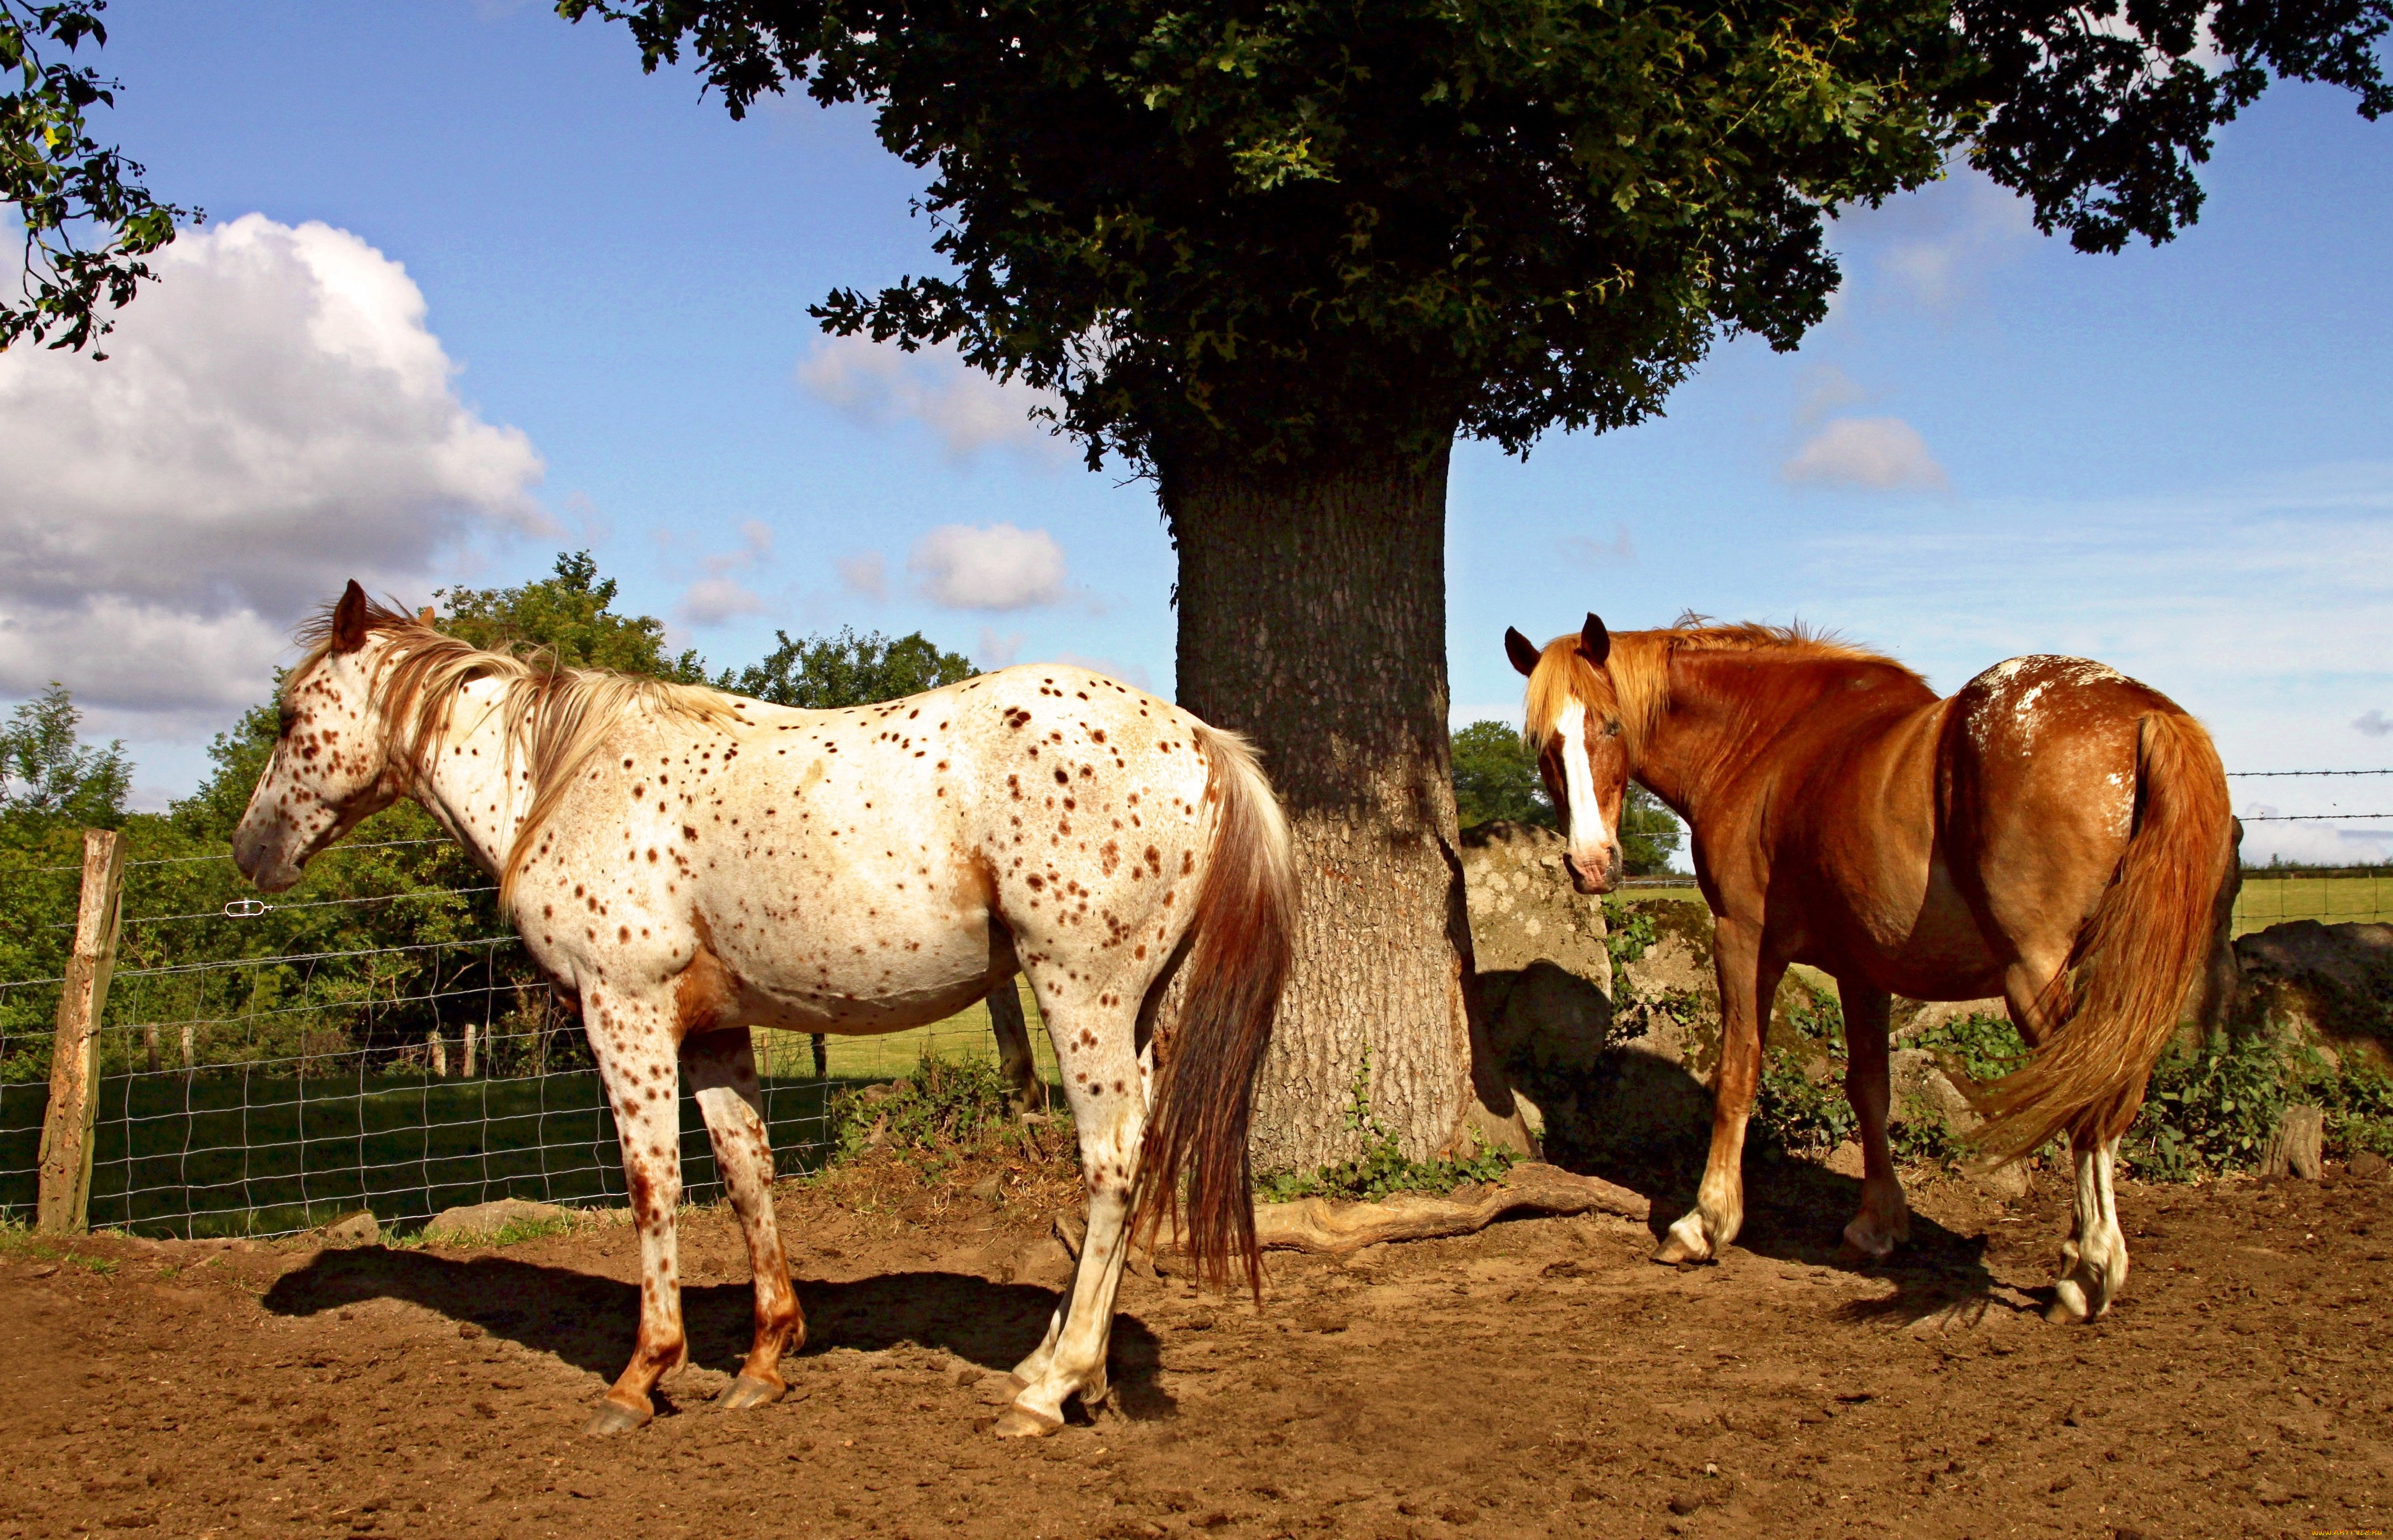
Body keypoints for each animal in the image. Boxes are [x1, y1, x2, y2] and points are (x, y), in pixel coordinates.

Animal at [238, 583, 1292, 1434]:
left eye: (290, 717)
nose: (253, 852)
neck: (564, 779)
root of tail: (1202, 741)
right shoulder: (713, 1030)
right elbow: (747, 1176)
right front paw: (762, 1360)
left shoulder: (624, 1014)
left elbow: (652, 1186)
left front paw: (641, 1376)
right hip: (1132, 1007)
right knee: (1136, 1158)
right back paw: (1078, 1370)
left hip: (1080, 994)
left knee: (1109, 1165)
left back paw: (1046, 1389)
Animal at [1503, 616, 2230, 1320]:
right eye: (1542, 742)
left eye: (1611, 725)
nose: (1590, 864)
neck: (1765, 742)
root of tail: (2144, 713)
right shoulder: (1862, 968)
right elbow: (1869, 1090)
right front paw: (1877, 1226)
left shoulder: (1742, 940)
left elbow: (1737, 1073)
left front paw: (1703, 1223)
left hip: (2036, 975)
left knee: (2088, 1101)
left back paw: (2086, 1276)